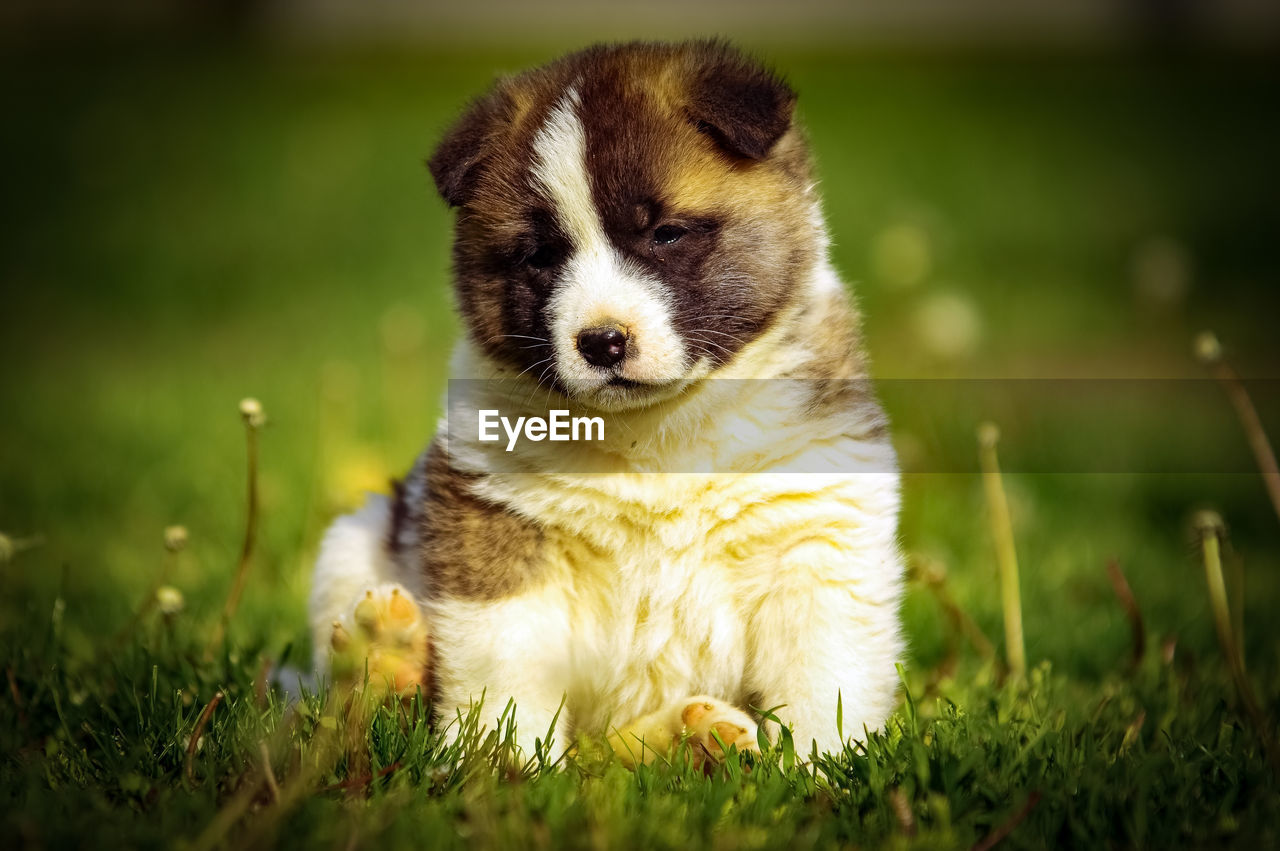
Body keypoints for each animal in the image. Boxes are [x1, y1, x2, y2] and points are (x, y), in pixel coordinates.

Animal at [309, 39, 906, 762]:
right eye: (540, 255)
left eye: (666, 234)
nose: (601, 342)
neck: (655, 433)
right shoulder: (499, 537)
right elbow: (504, 674)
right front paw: (501, 765)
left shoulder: (817, 542)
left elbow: (825, 682)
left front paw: (824, 769)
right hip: (352, 540)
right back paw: (387, 654)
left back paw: (699, 738)